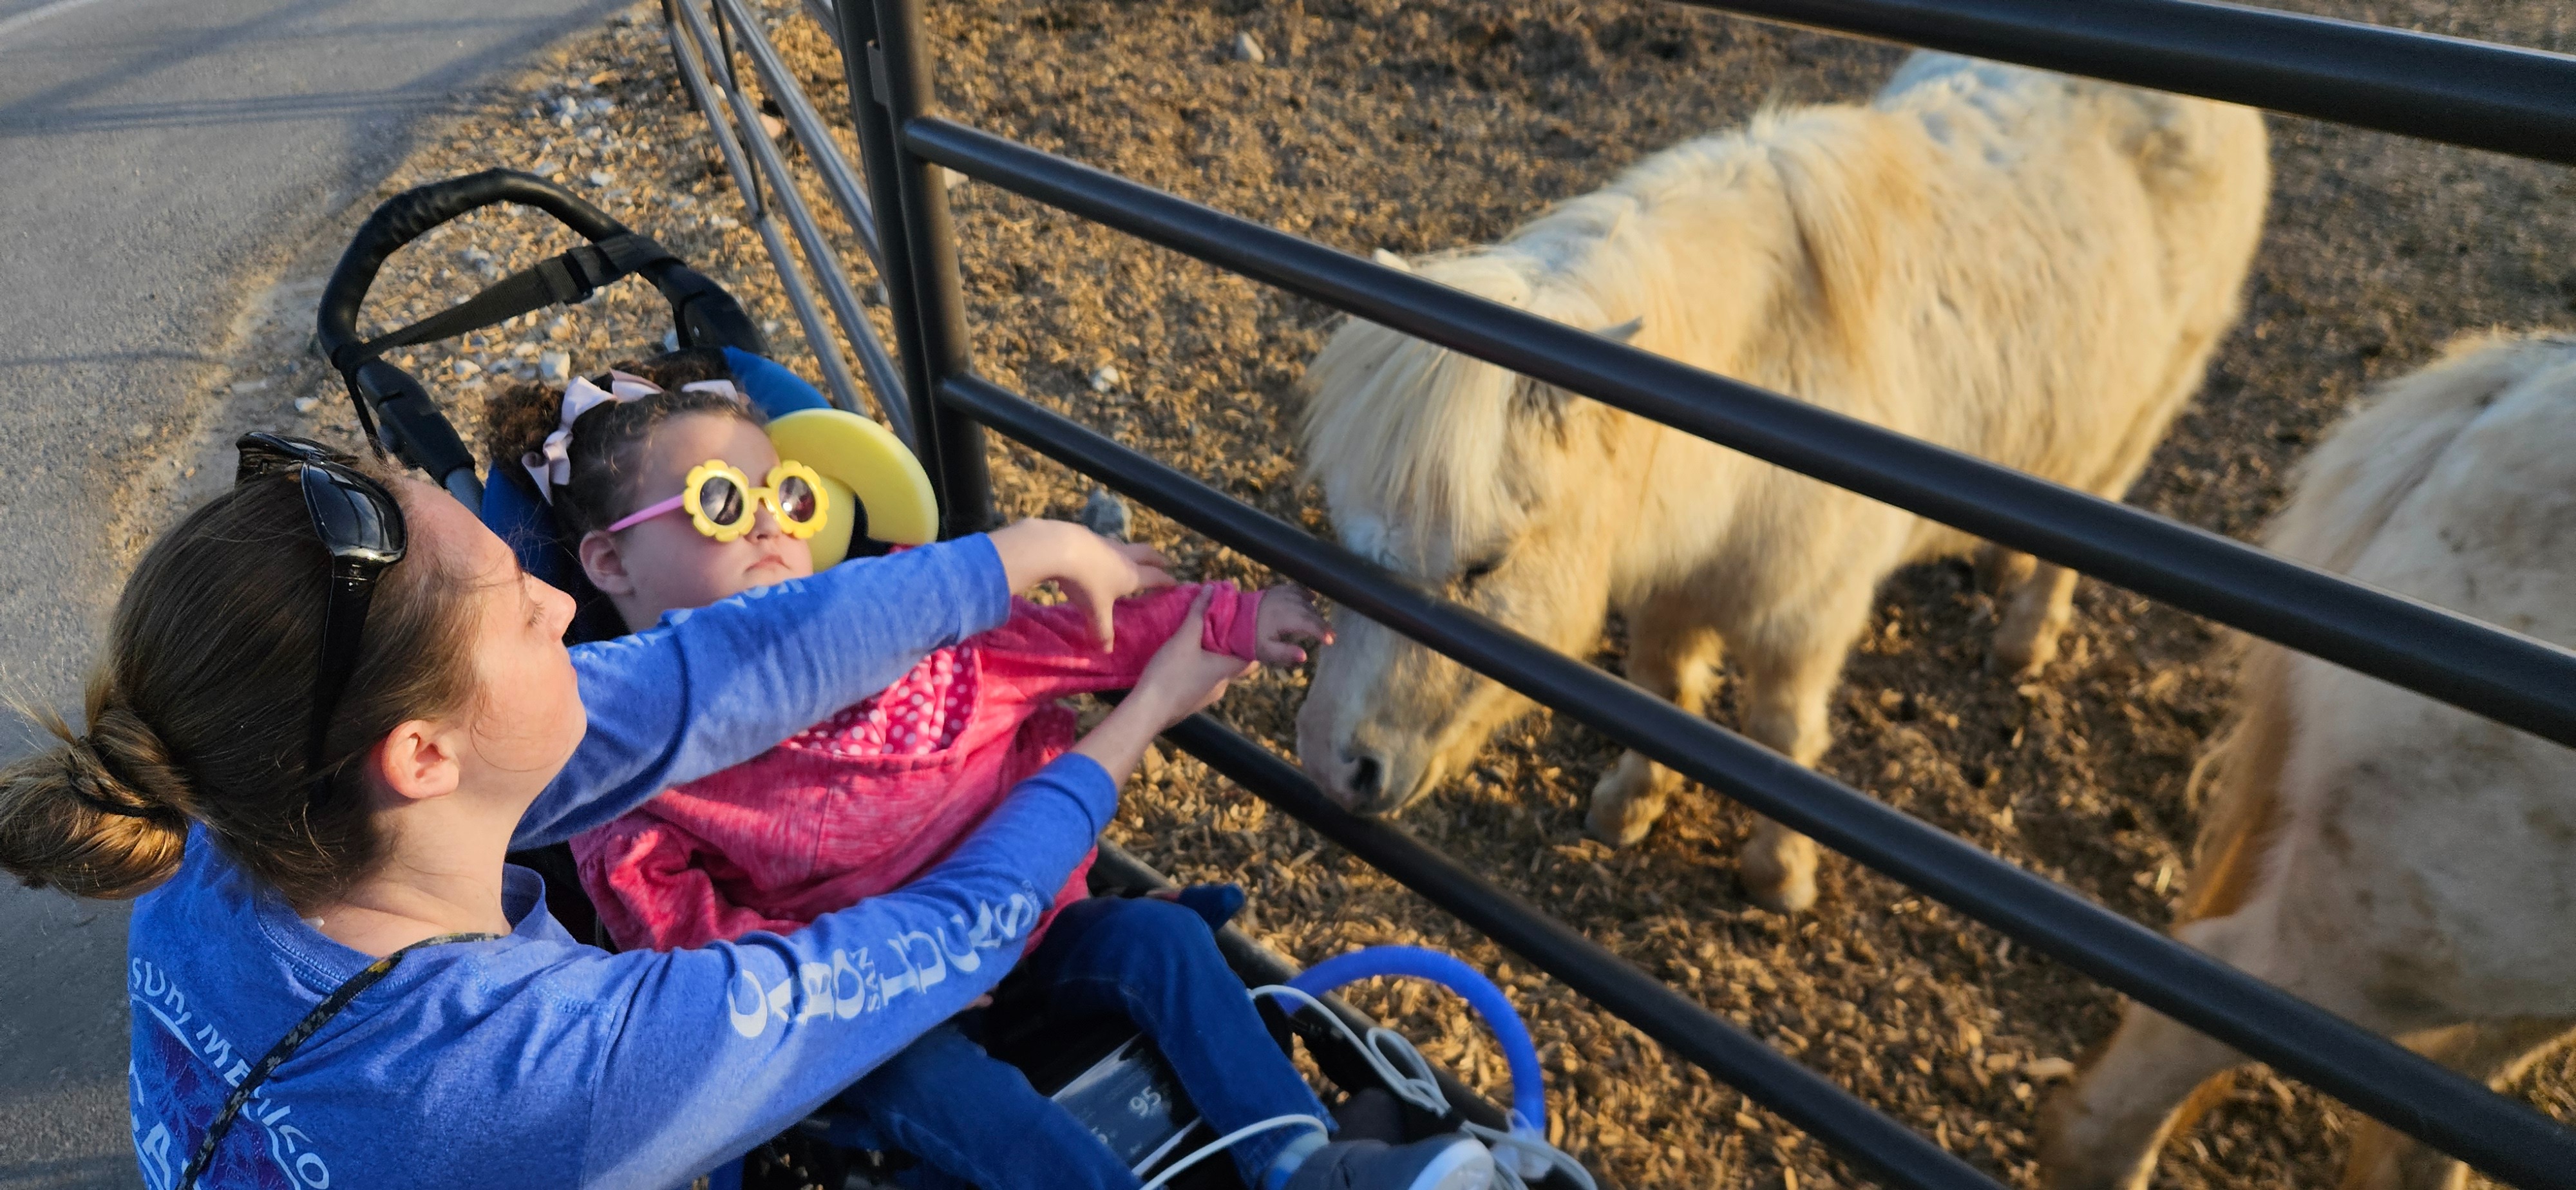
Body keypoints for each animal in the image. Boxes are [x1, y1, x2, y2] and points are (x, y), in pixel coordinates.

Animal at [1291, 52, 2270, 912]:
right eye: (1346, 535)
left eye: (1484, 566)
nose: (1336, 765)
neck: (1754, 389)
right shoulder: (1672, 586)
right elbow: (1660, 694)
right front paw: (1628, 807)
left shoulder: (1808, 619)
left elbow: (1780, 741)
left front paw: (1777, 875)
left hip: (2148, 410)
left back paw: (2025, 639)